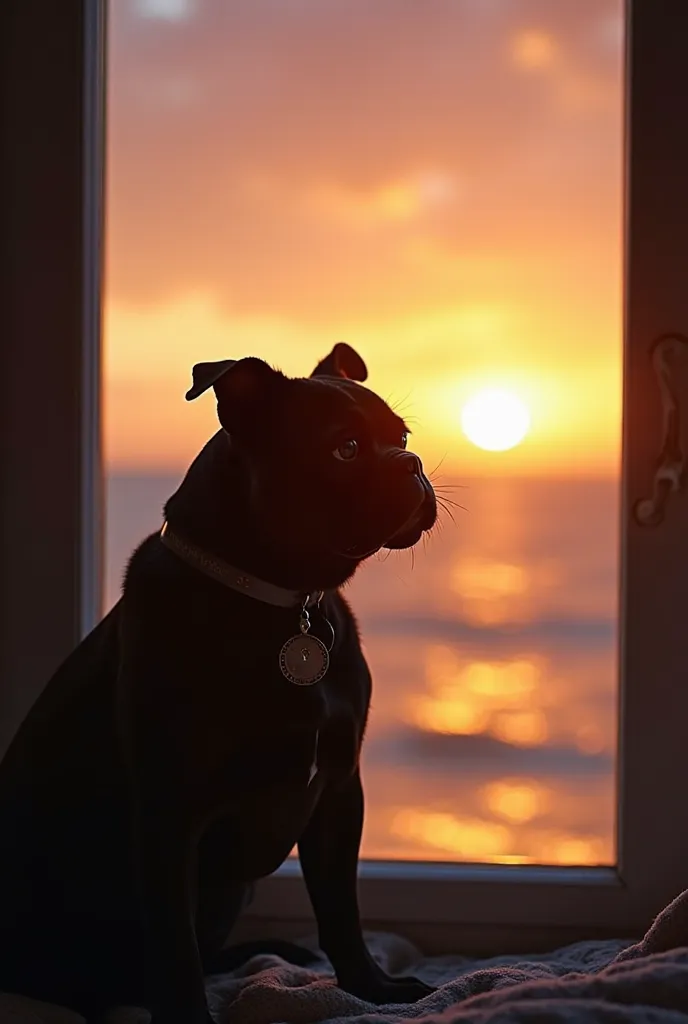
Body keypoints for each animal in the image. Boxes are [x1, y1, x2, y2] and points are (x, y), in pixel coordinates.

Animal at [0, 346, 436, 1024]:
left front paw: (372, 988)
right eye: (344, 448)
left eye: (404, 437)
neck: (281, 601)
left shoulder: (339, 791)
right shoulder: (169, 814)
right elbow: (174, 945)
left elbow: (342, 910)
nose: (411, 464)